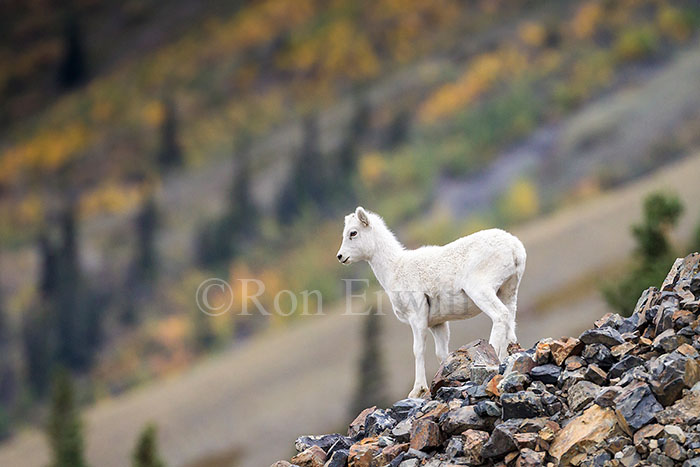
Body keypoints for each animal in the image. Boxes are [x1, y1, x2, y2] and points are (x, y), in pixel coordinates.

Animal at [338, 207, 524, 398]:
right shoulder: (438, 324)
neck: (395, 269)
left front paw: (417, 390)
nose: (340, 256)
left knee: (500, 316)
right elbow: (442, 354)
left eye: (353, 233)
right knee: (510, 324)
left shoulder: (417, 317)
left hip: (481, 290)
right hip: (508, 292)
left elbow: (418, 350)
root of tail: (514, 248)